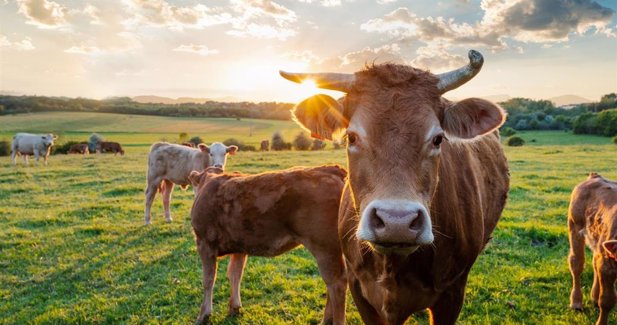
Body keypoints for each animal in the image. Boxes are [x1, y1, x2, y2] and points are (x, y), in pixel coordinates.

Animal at [190, 165, 346, 324]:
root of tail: (327, 169)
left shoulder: (204, 243)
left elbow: (208, 279)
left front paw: (203, 315)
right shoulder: (239, 247)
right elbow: (234, 274)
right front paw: (234, 307)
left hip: (324, 248)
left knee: (336, 284)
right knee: (332, 283)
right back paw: (326, 319)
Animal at [568, 172, 616, 324]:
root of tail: (595, 177)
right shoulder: (608, 265)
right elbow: (607, 300)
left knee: (595, 262)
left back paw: (594, 297)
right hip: (575, 227)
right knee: (576, 264)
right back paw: (576, 302)